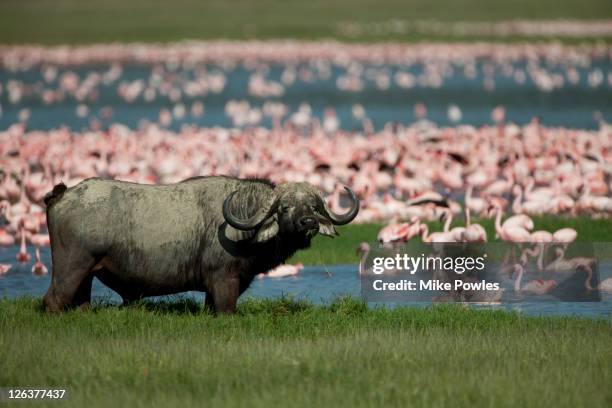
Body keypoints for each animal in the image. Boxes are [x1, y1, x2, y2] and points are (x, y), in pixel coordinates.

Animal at [43, 175, 358, 312]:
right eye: (284, 207)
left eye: (313, 206)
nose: (308, 223)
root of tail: (64, 194)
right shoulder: (224, 281)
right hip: (71, 267)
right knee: (52, 300)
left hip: (86, 275)